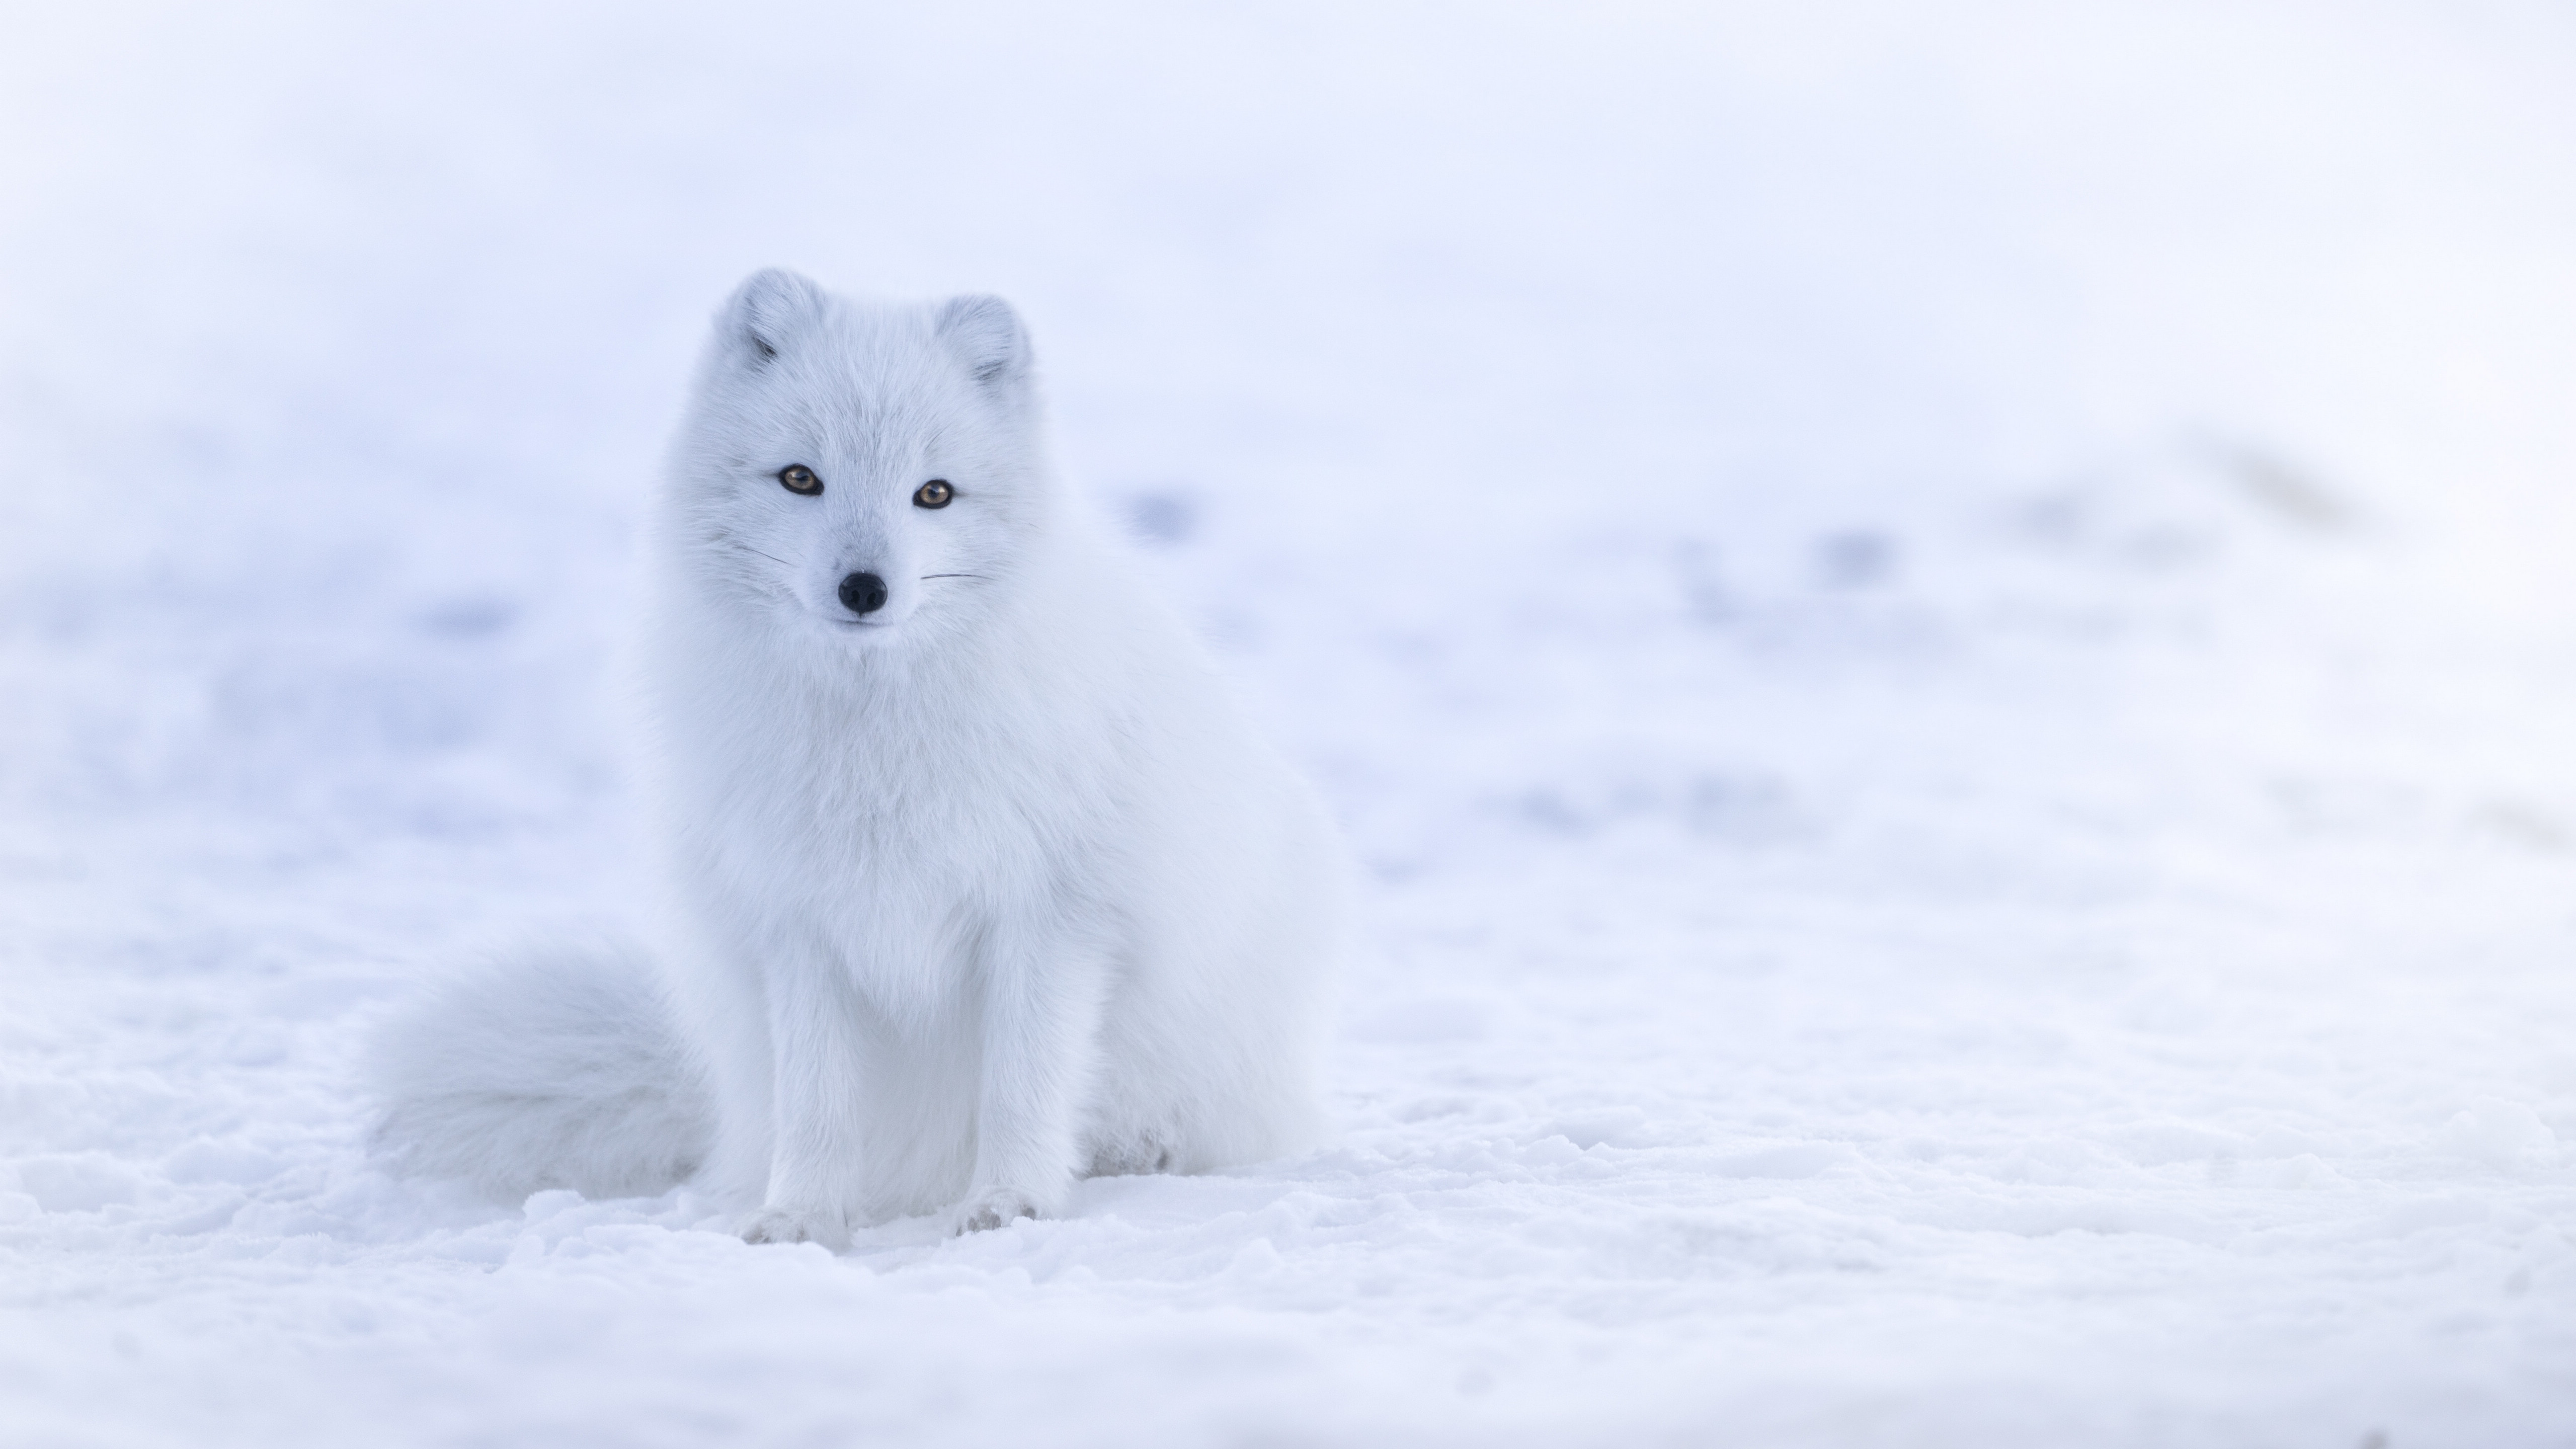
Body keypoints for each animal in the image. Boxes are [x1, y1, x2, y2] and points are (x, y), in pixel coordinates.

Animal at [381, 265, 1349, 1237]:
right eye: (801, 477)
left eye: (935, 494)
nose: (863, 588)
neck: (874, 738)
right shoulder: (799, 924)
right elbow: (818, 1101)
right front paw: (802, 1216)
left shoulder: (1051, 915)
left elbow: (1022, 1084)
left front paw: (1009, 1200)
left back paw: (1137, 1151)